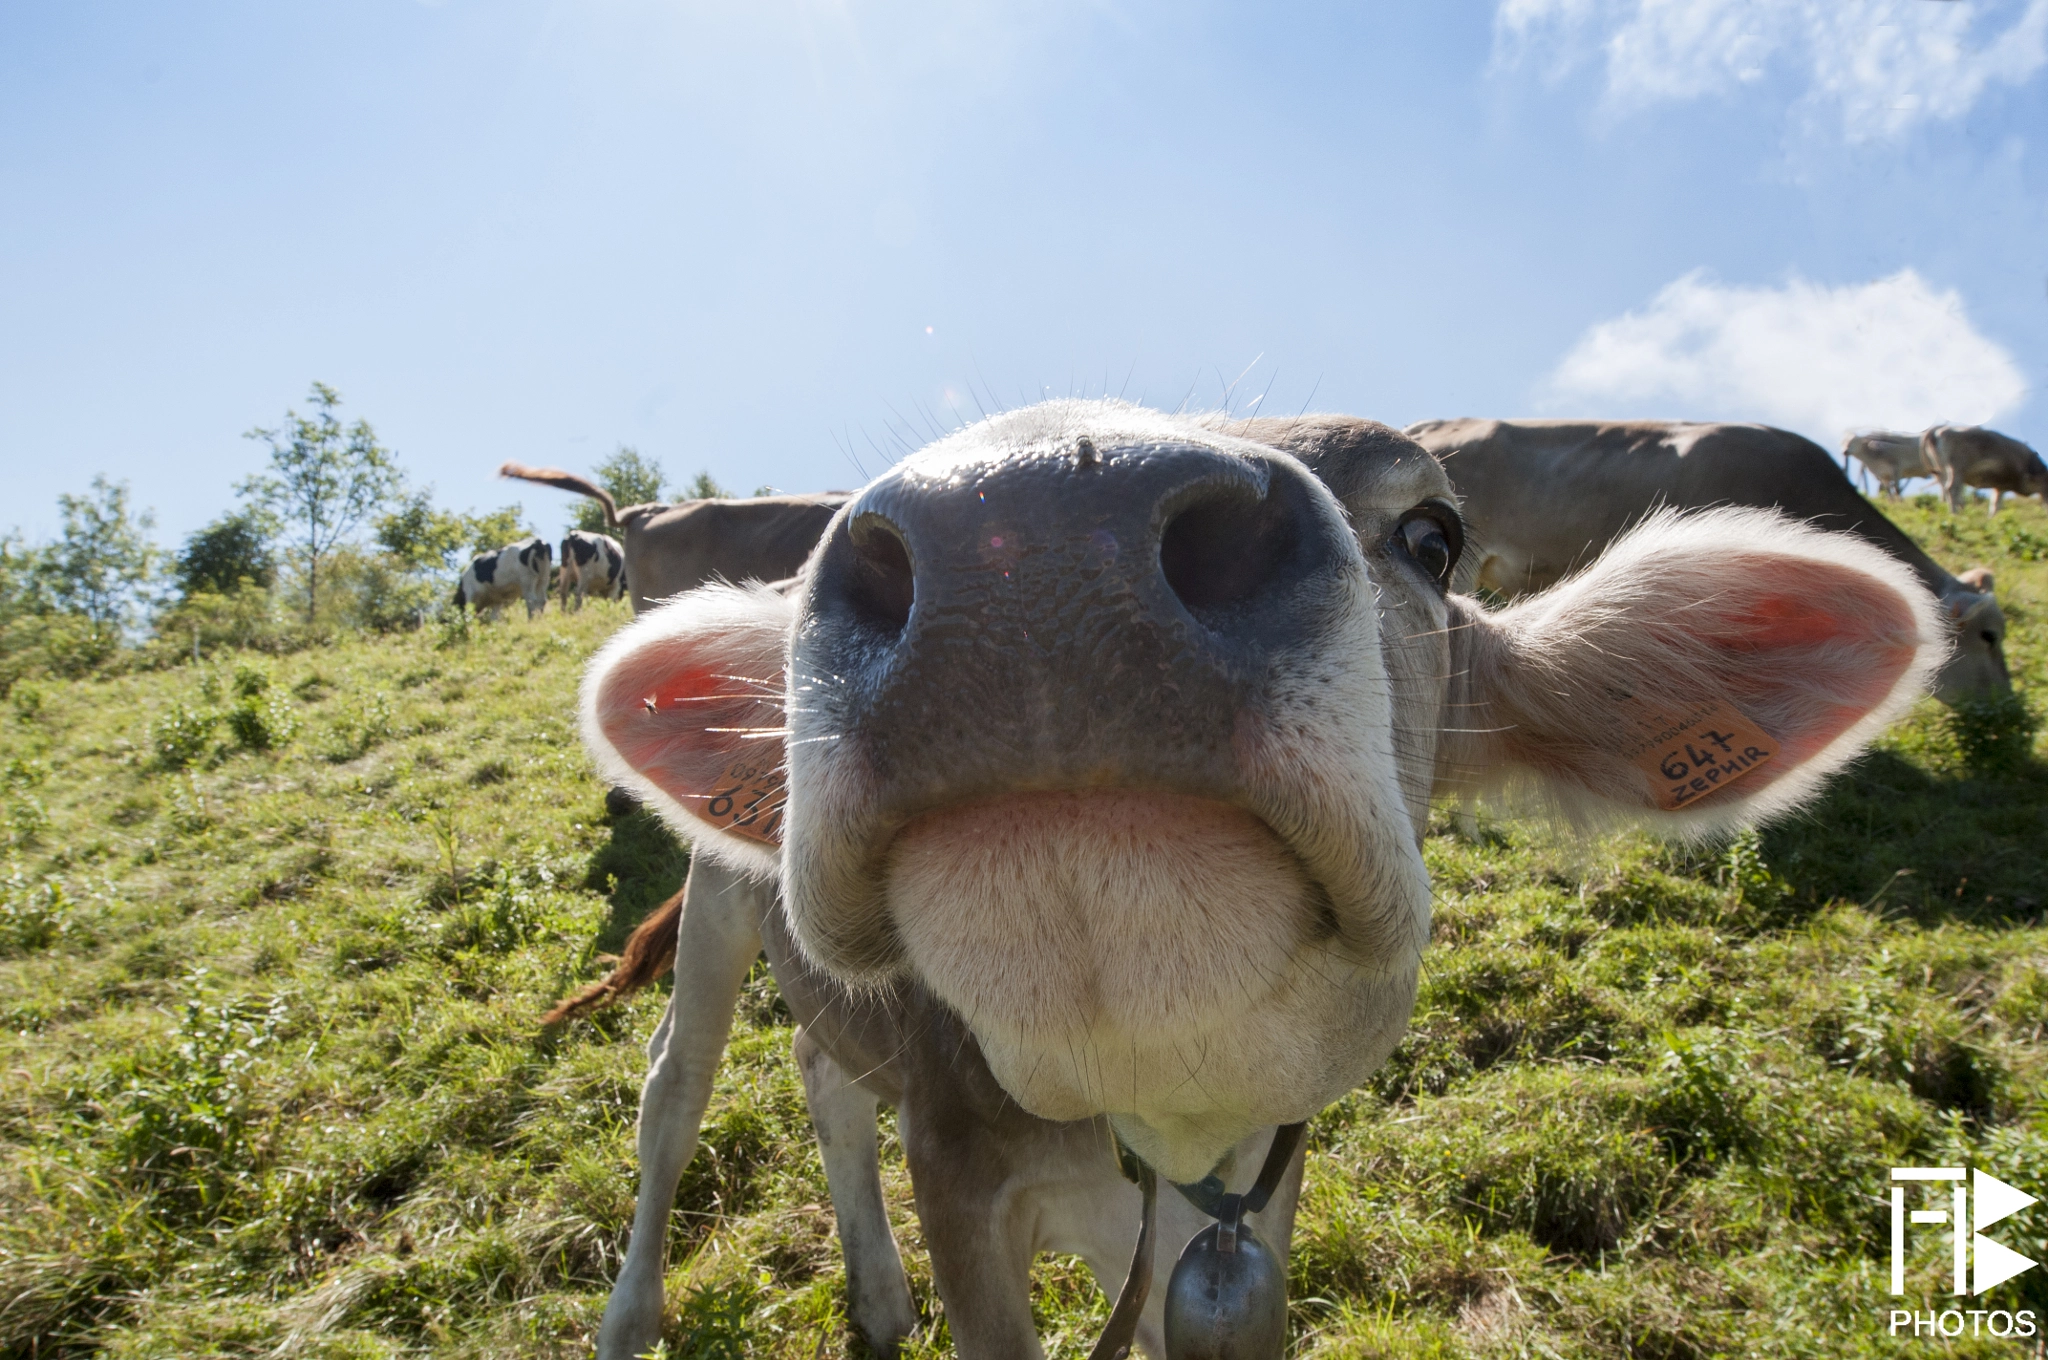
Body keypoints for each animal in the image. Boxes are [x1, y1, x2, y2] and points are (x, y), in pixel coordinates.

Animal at [559, 401, 1940, 1360]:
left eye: (1432, 536)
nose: (1038, 540)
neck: (1160, 1117)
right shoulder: (961, 1176)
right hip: (719, 907)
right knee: (673, 1091)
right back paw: (631, 1316)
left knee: (822, 1067)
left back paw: (878, 1291)